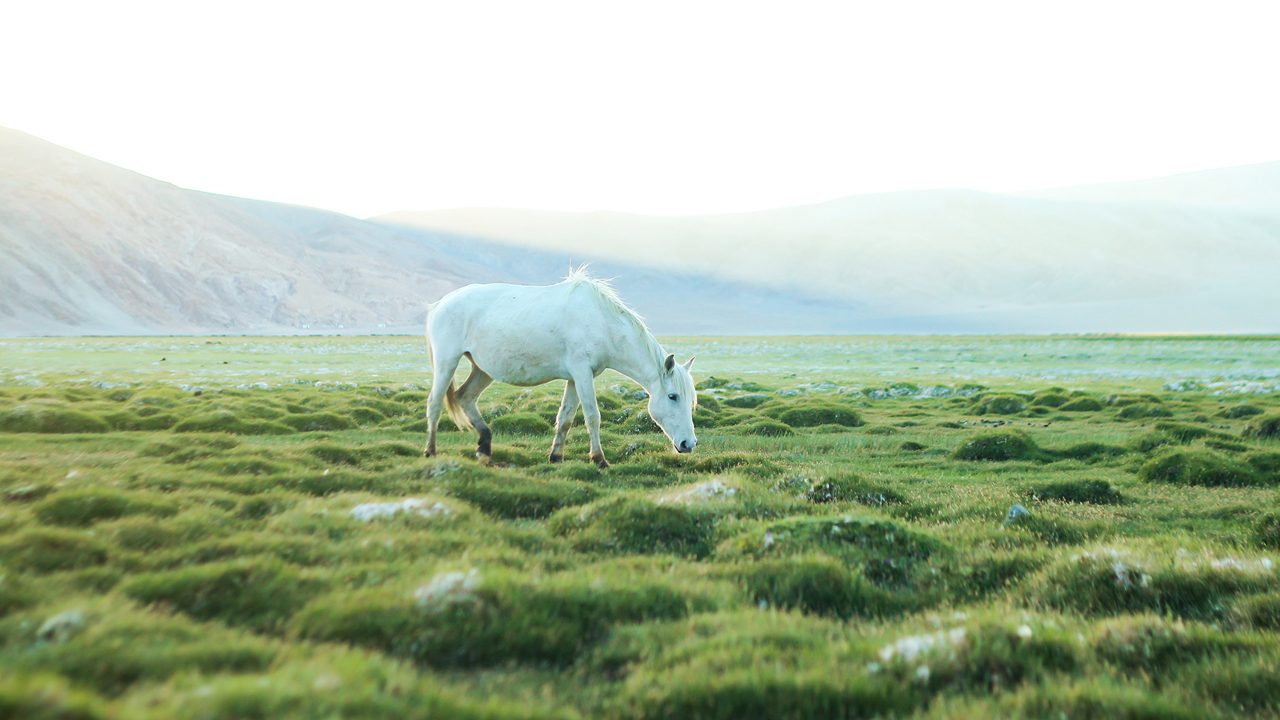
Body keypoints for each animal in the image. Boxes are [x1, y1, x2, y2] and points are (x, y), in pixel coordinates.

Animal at [424, 267, 696, 466]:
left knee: (465, 397)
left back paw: (484, 447)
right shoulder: (583, 374)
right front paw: (599, 460)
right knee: (435, 403)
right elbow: (592, 416)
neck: (602, 322)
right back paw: (431, 451)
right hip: (447, 361)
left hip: (483, 369)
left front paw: (555, 456)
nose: (688, 444)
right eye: (672, 396)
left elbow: (565, 418)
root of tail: (440, 304)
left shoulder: (575, 378)